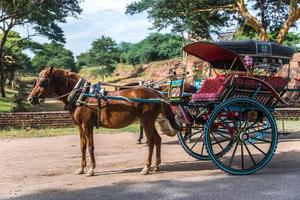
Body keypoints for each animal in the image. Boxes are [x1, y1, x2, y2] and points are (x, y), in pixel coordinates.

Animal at [28, 67, 180, 177]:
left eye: (42, 82)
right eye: (36, 81)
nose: (30, 98)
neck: (81, 96)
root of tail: (157, 93)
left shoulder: (87, 125)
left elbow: (90, 147)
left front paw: (91, 170)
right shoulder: (80, 126)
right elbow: (82, 146)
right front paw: (81, 169)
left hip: (146, 120)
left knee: (152, 141)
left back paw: (146, 167)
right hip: (149, 121)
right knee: (158, 139)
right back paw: (156, 166)